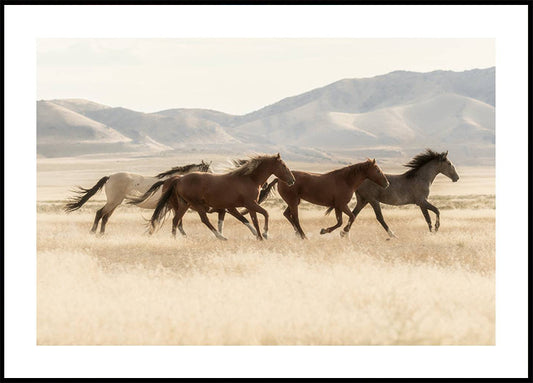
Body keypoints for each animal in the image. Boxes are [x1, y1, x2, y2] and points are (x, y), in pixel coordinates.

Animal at [64, 161, 210, 236]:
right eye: (208, 170)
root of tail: (110, 176)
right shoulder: (170, 207)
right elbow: (174, 221)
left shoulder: (171, 207)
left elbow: (175, 221)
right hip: (113, 202)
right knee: (100, 213)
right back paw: (93, 232)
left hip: (115, 203)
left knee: (105, 217)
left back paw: (101, 234)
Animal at [149, 153, 296, 240]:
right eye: (283, 166)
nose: (292, 180)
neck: (249, 179)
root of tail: (179, 179)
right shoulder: (249, 204)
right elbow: (264, 214)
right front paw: (265, 234)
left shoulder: (239, 207)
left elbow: (250, 220)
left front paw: (259, 236)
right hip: (196, 204)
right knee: (203, 220)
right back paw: (219, 236)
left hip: (184, 204)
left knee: (176, 220)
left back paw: (175, 238)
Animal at [326, 149, 460, 237]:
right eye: (449, 164)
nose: (456, 178)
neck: (421, 178)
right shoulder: (422, 201)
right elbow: (435, 212)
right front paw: (435, 230)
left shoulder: (421, 203)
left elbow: (429, 217)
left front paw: (432, 231)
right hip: (372, 200)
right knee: (379, 217)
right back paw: (392, 235)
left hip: (363, 200)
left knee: (354, 214)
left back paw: (343, 233)